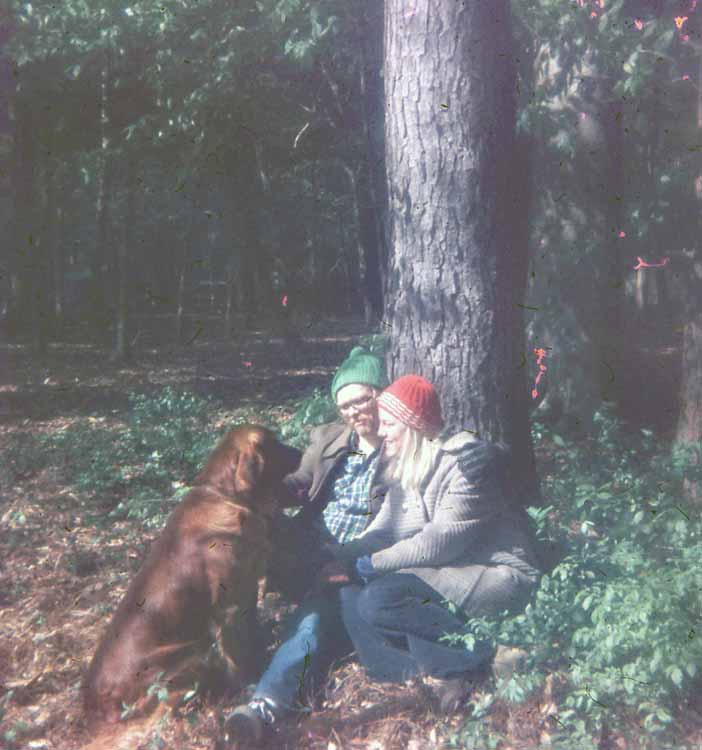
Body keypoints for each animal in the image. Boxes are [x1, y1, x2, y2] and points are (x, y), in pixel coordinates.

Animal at [83, 428, 302, 728]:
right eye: (275, 443)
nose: (302, 452)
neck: (227, 496)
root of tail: (92, 704)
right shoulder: (227, 607)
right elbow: (237, 655)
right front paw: (248, 684)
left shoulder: (246, 591)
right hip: (188, 653)